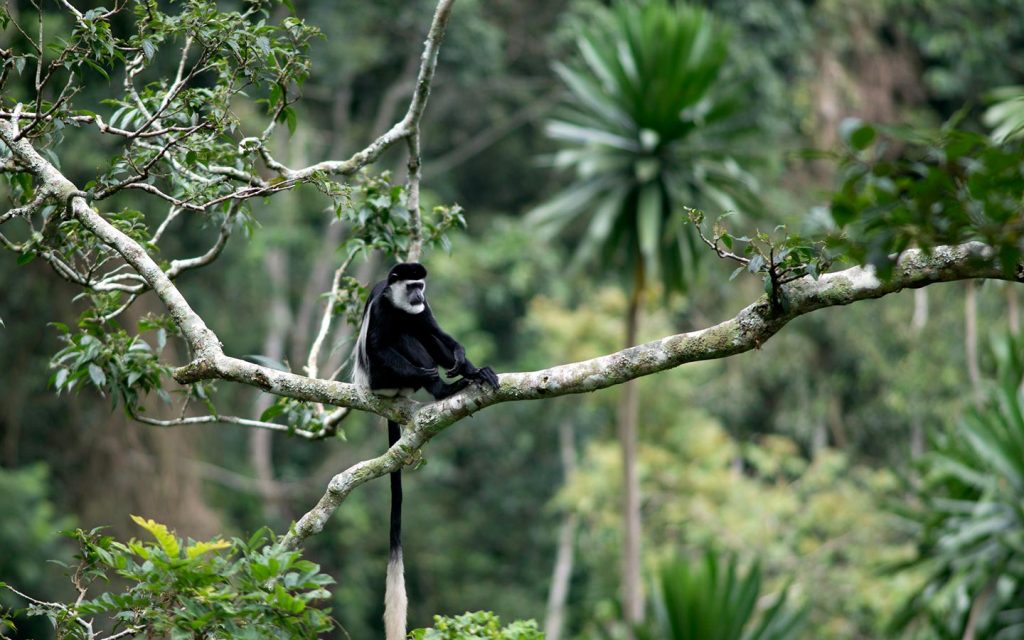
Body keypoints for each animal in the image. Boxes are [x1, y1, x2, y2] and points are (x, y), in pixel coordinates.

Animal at [352, 261, 499, 638]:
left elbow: (437, 331)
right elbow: (380, 346)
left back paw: (473, 375)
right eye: (412, 286)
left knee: (423, 332)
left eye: (421, 286)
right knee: (403, 339)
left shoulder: (423, 310)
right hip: (384, 380)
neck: (397, 301)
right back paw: (441, 388)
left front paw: (464, 360)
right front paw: (435, 378)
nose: (418, 296)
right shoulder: (382, 310)